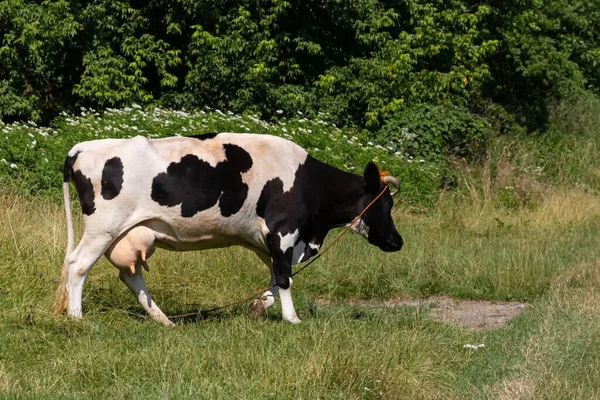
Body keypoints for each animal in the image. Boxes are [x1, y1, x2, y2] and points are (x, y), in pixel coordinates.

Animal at [55, 133, 404, 326]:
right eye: (386, 203)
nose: (398, 241)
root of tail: (81, 148)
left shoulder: (267, 241)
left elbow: (276, 279)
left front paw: (258, 307)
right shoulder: (283, 233)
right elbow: (285, 278)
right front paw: (292, 319)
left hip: (129, 232)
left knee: (130, 275)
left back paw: (164, 321)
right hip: (104, 228)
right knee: (77, 265)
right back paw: (77, 318)